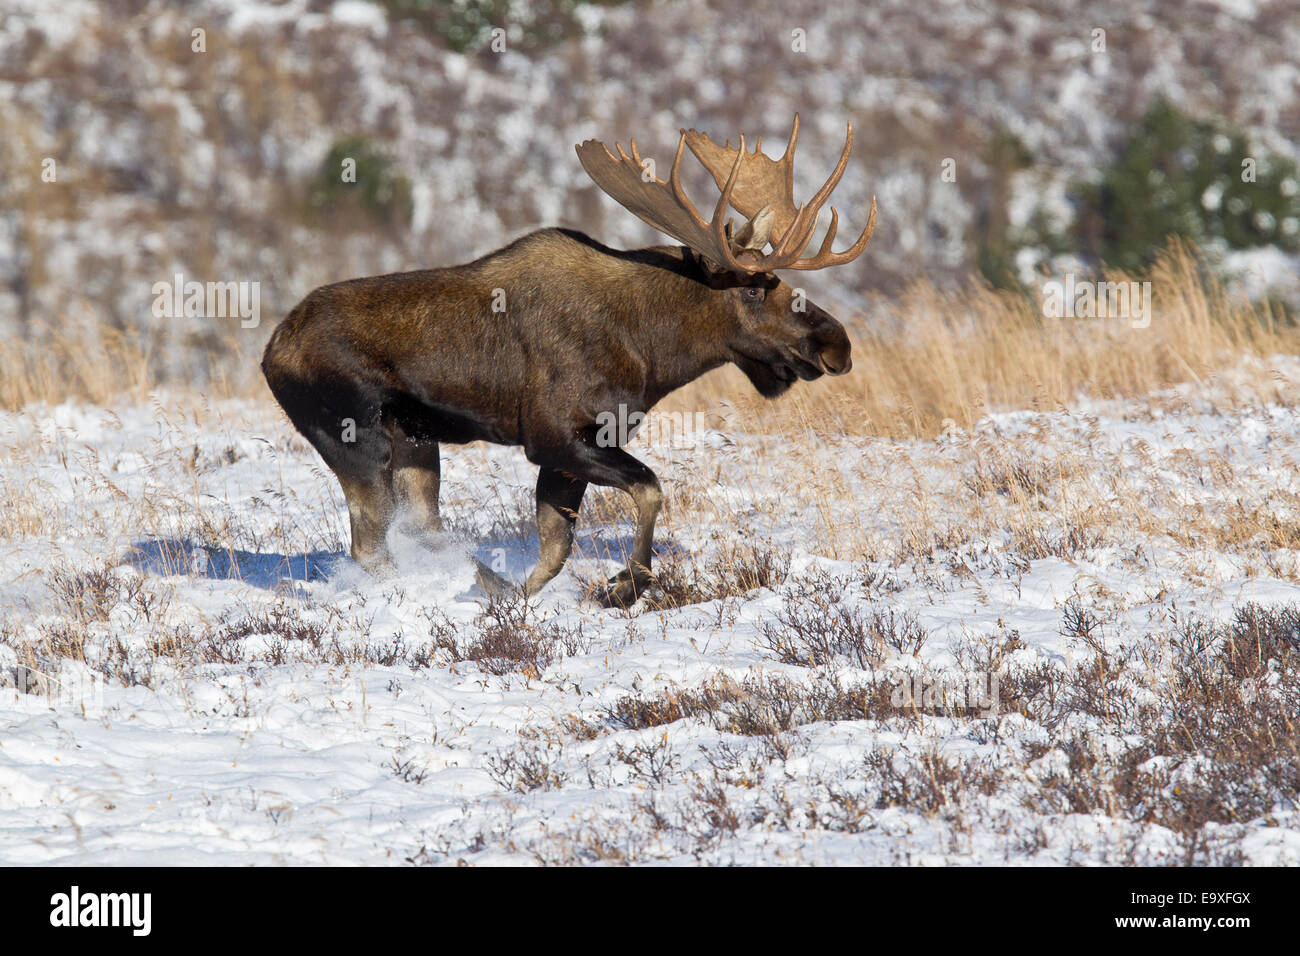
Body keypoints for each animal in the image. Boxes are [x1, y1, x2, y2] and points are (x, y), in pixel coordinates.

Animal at [261, 113, 873, 606]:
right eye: (752, 289)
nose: (836, 344)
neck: (653, 351)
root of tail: (271, 351)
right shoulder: (554, 435)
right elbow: (649, 489)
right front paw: (625, 585)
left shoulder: (571, 451)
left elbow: (554, 551)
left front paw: (521, 597)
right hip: (357, 440)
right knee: (371, 545)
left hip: (416, 442)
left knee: (422, 527)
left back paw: (479, 579)